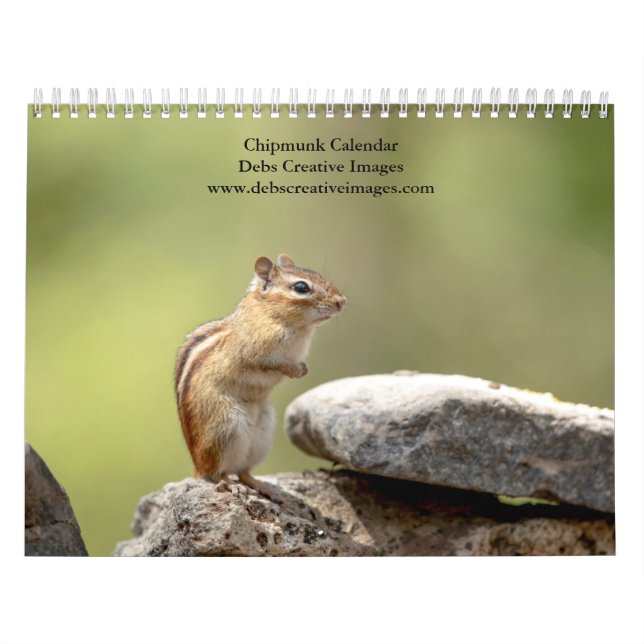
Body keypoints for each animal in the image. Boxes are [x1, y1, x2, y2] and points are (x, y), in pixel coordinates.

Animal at [174, 253, 346, 496]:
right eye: (301, 287)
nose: (342, 301)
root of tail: (197, 467)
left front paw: (303, 368)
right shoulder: (254, 352)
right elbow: (271, 365)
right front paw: (294, 370)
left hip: (261, 436)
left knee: (243, 470)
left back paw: (262, 485)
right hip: (225, 428)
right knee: (218, 472)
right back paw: (229, 484)